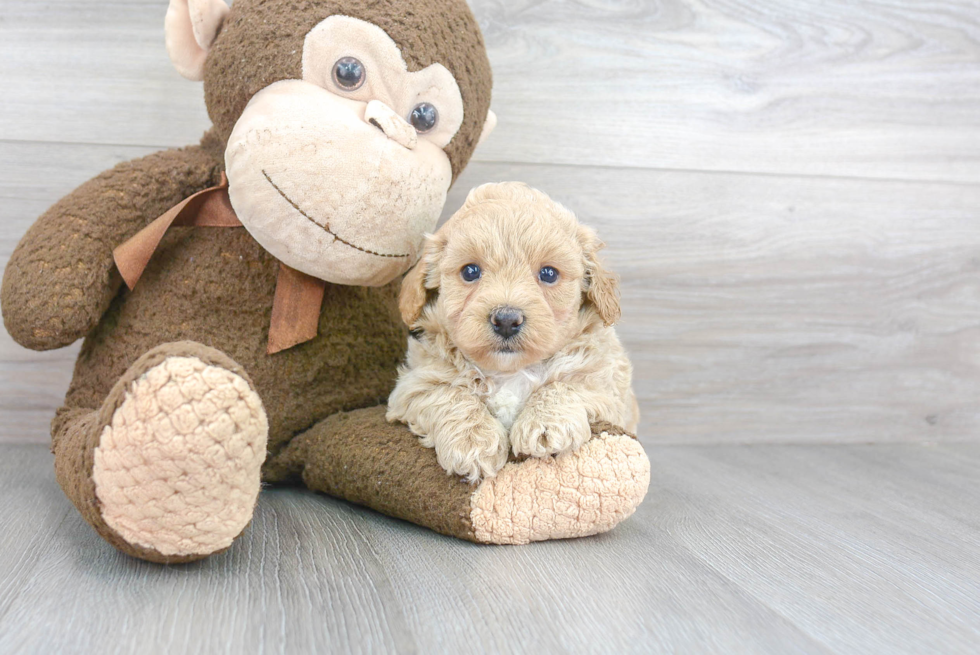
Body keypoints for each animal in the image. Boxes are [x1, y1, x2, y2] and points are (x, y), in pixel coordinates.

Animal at [386, 182, 640, 480]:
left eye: (549, 274)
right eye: (470, 271)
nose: (506, 320)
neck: (509, 372)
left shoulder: (608, 385)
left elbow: (566, 384)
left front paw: (544, 423)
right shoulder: (414, 384)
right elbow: (450, 394)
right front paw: (473, 441)